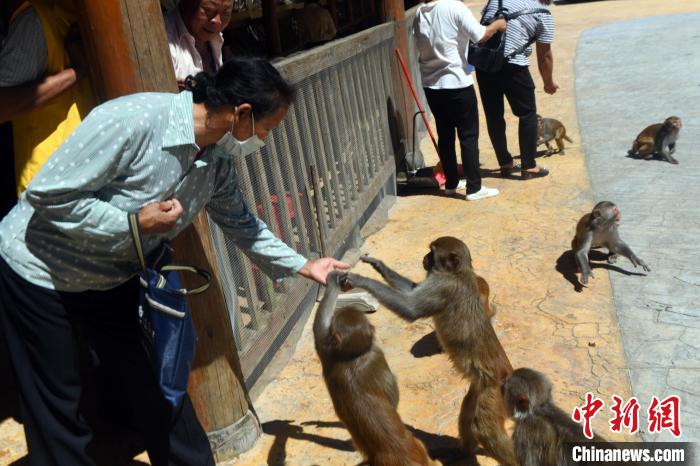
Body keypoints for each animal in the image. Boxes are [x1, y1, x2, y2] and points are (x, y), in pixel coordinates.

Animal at [314, 272, 434, 464]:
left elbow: (321, 320)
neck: (352, 356)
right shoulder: (375, 354)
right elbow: (392, 395)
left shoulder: (326, 348)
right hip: (417, 447)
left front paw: (333, 279)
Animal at [342, 238, 516, 466]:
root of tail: (507, 373)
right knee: (468, 415)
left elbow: (411, 308)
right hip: (479, 388)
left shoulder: (443, 286)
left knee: (485, 430)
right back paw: (462, 452)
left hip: (492, 391)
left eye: (432, 253)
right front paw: (378, 265)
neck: (458, 273)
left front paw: (361, 280)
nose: (424, 259)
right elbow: (413, 290)